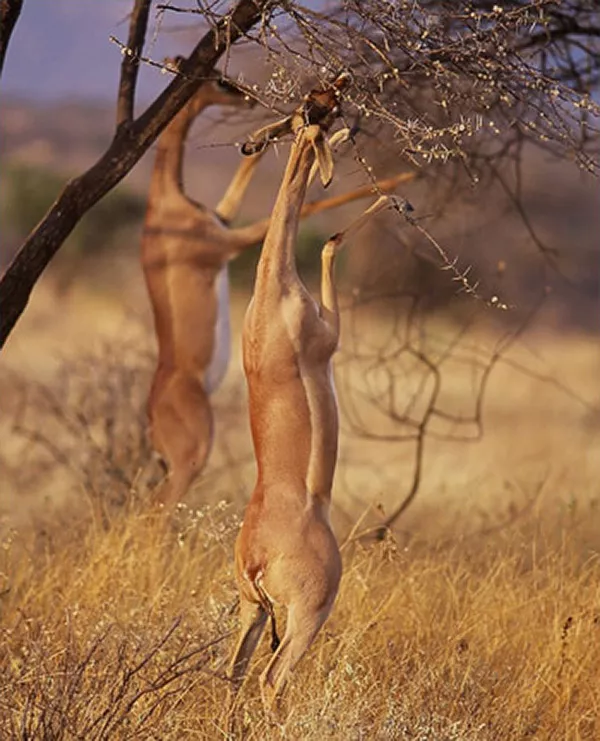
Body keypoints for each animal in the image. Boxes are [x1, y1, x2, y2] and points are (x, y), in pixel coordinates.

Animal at [227, 78, 392, 708]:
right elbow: (330, 245)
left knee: (233, 674)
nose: (346, 87)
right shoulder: (331, 335)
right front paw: (395, 199)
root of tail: (254, 558)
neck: (271, 291)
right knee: (272, 680)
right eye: (320, 108)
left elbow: (326, 244)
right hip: (308, 614)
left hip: (251, 611)